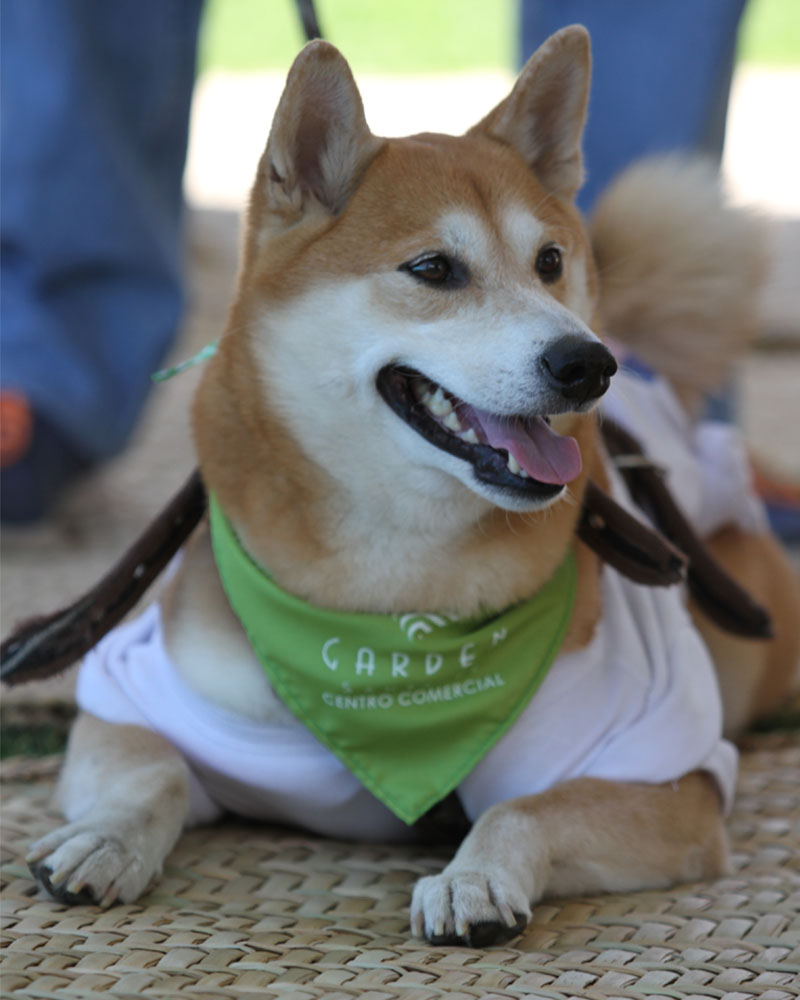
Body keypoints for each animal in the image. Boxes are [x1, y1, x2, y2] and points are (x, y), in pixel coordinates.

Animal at [28, 25, 796, 944]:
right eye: (433, 269)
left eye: (549, 261)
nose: (588, 364)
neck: (394, 609)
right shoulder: (138, 699)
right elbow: (155, 775)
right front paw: (105, 839)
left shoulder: (664, 769)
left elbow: (520, 809)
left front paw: (473, 879)